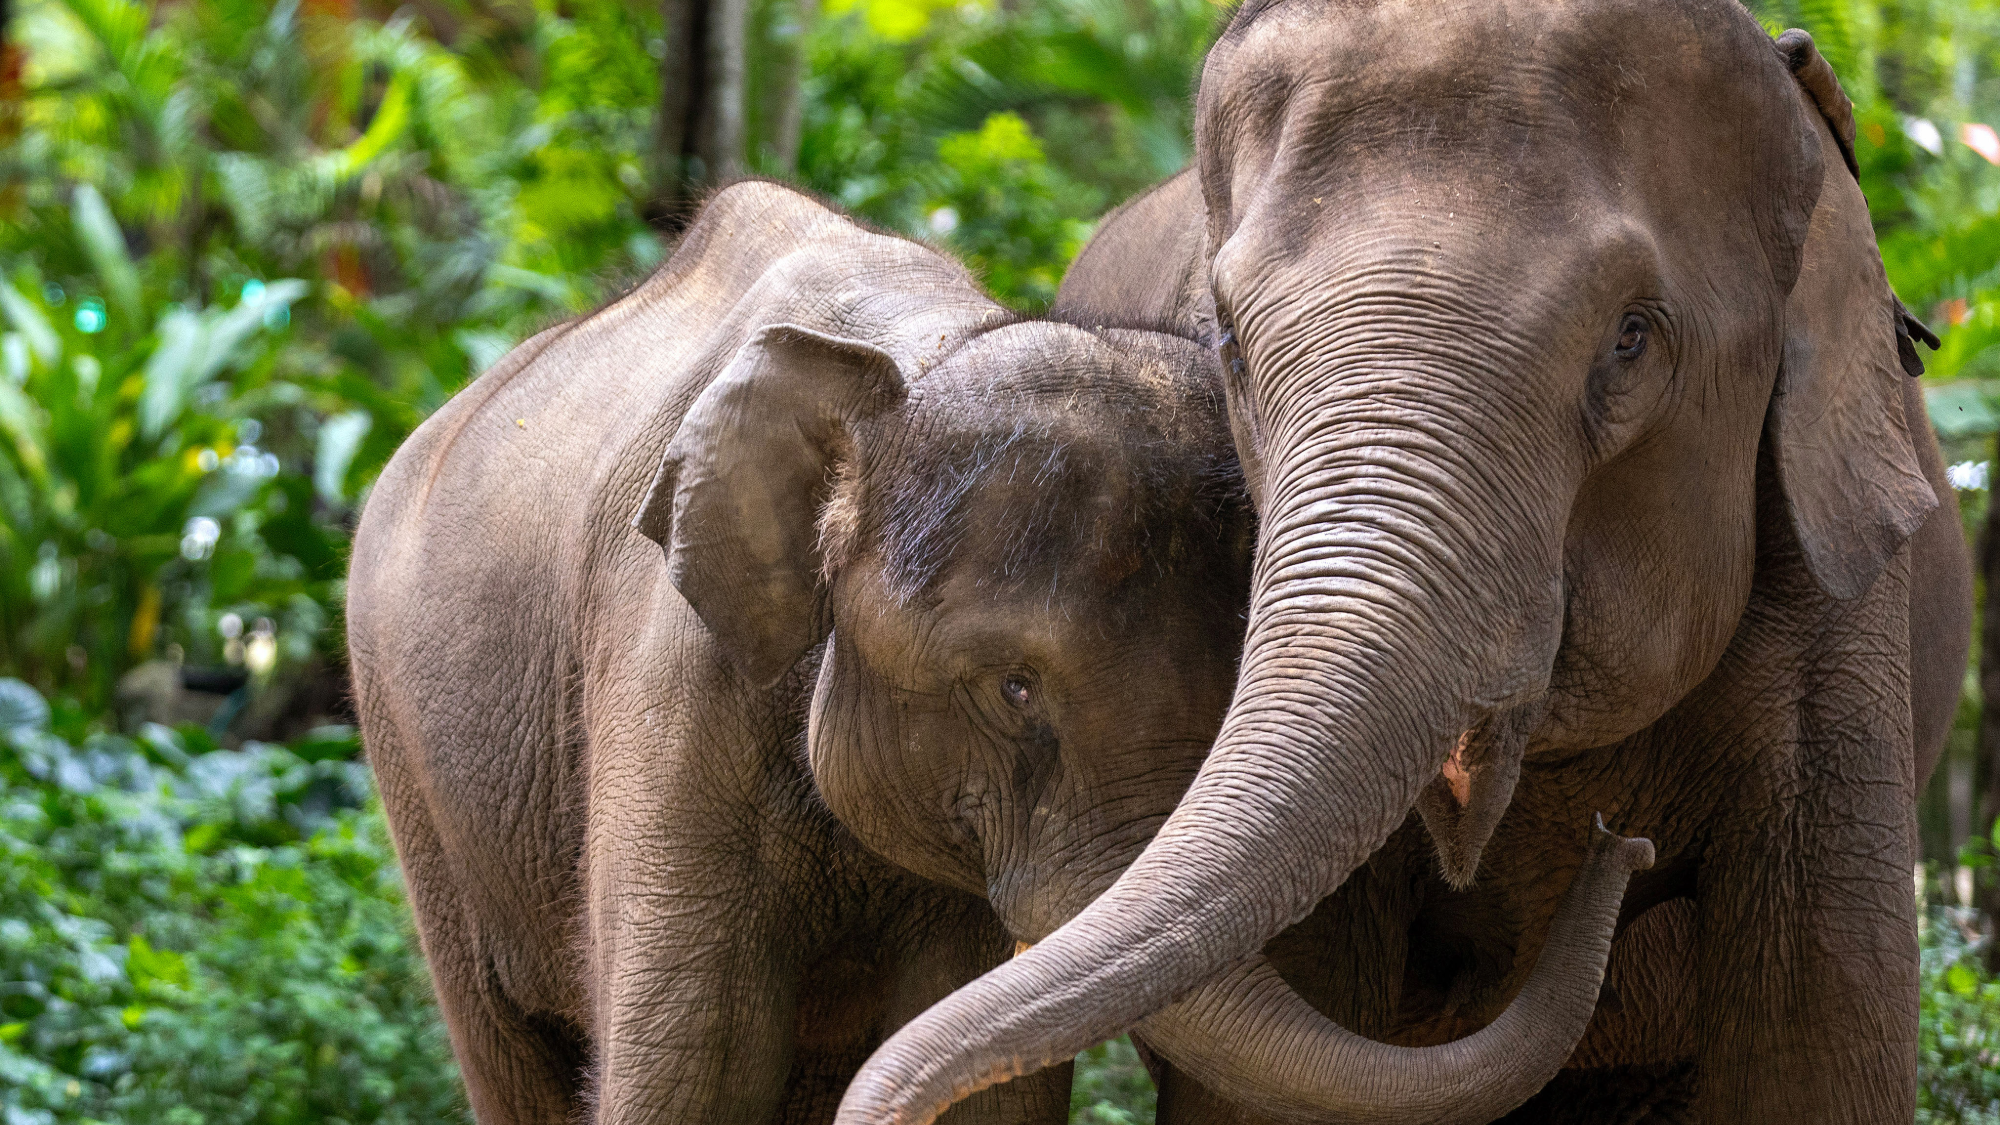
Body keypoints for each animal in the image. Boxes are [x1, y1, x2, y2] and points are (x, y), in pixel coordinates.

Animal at [346, 180, 1657, 1123]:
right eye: (1011, 687)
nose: (1623, 840)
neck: (910, 356)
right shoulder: (670, 687)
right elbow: (690, 1066)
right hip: (408, 758)